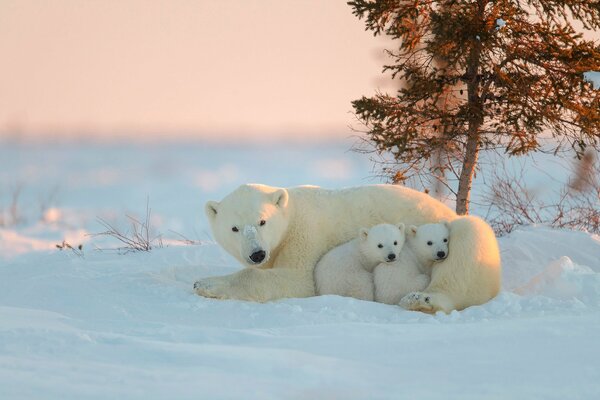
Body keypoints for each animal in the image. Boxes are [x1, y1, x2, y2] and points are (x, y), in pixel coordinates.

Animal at [195, 184, 500, 312]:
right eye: (234, 228)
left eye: (262, 221)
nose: (257, 253)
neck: (291, 211)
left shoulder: (305, 233)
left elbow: (298, 280)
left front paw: (206, 283)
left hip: (452, 233)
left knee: (469, 240)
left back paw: (422, 300)